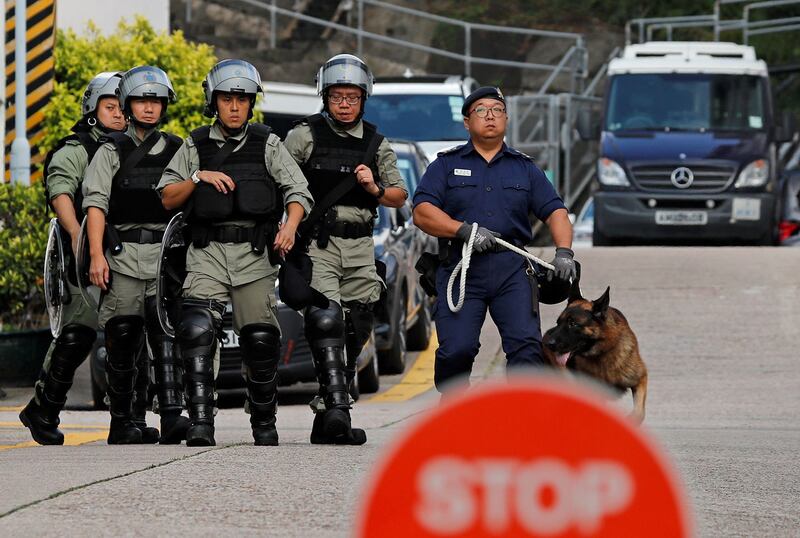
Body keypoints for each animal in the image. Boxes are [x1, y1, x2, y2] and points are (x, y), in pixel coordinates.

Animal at [540, 280, 648, 422]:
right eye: (558, 322)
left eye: (573, 324)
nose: (548, 344)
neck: (603, 353)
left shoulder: (640, 379)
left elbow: (639, 413)